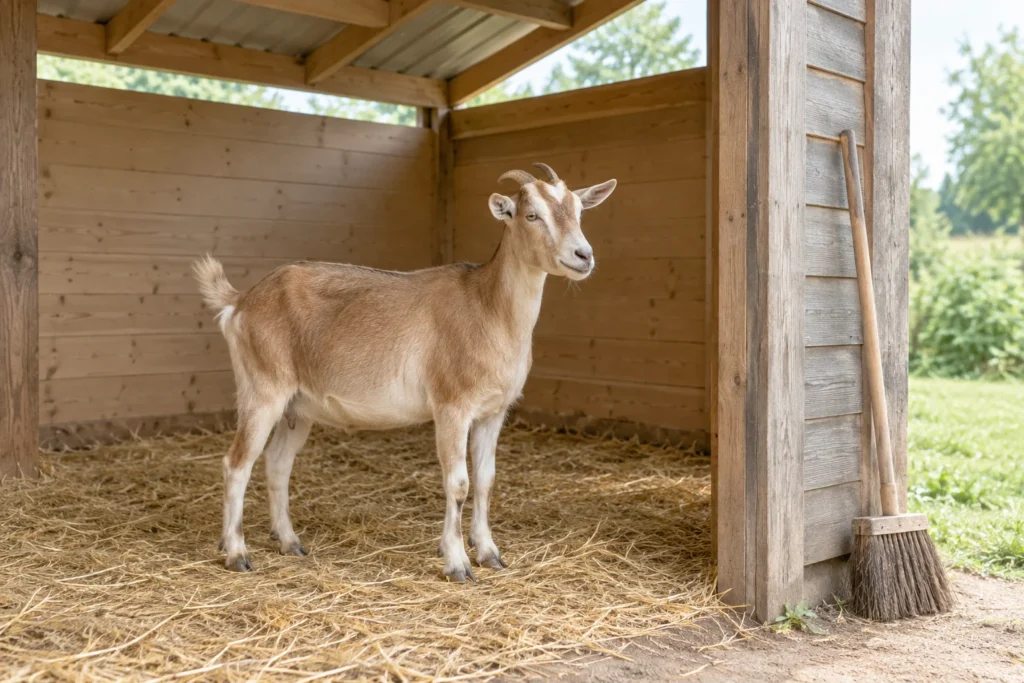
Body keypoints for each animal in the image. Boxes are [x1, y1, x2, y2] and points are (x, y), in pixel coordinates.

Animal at [193, 163, 617, 582]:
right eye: (532, 215)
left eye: (579, 211)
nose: (583, 256)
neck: (487, 308)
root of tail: (241, 301)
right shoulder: (451, 406)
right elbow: (458, 483)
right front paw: (457, 563)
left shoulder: (493, 412)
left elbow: (486, 480)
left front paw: (489, 553)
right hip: (262, 391)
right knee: (236, 464)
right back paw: (237, 553)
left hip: (297, 408)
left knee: (278, 464)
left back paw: (289, 542)